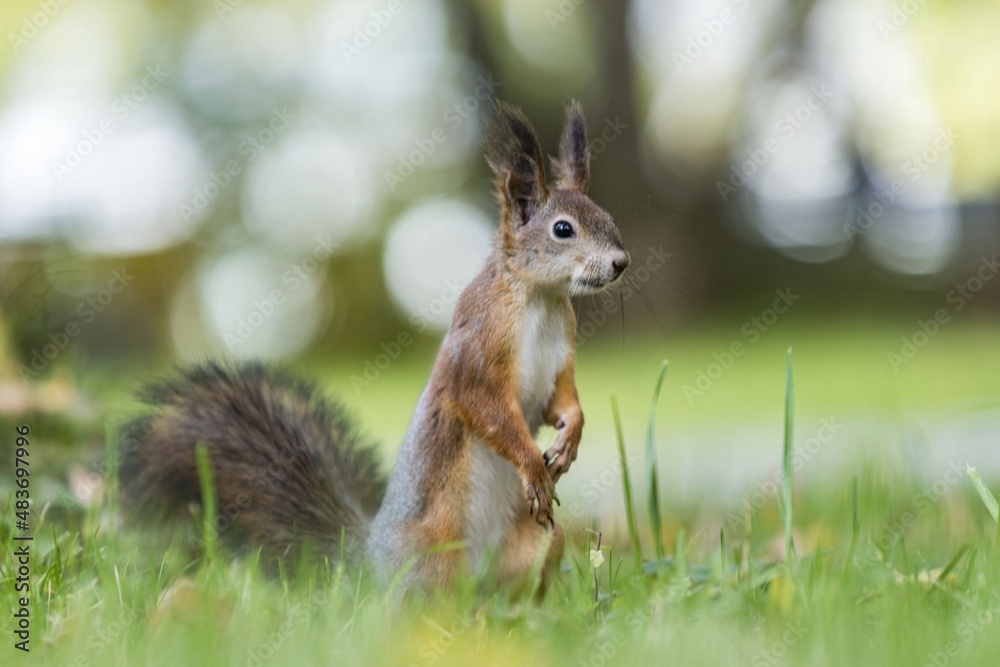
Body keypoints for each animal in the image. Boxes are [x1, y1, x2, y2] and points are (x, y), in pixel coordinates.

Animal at [119, 100, 630, 593]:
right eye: (563, 230)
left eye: (608, 217)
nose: (621, 262)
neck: (541, 300)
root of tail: (368, 559)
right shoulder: (478, 349)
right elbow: (485, 408)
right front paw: (534, 466)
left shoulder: (560, 358)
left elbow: (561, 401)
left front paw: (569, 440)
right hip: (432, 555)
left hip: (539, 543)